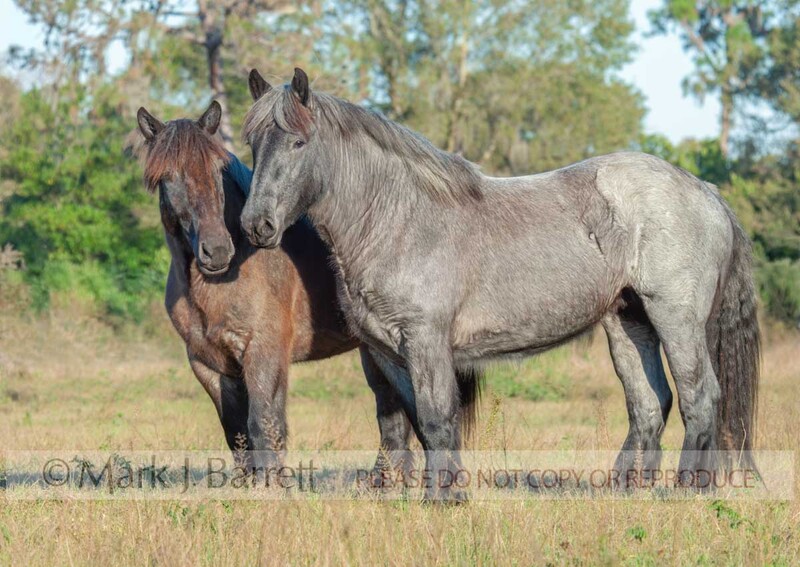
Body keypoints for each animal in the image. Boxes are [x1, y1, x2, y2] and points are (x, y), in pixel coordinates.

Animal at [131, 101, 482, 475]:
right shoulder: (208, 364)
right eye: (166, 177)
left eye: (217, 169)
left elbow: (265, 428)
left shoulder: (265, 354)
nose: (217, 250)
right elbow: (237, 437)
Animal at [239, 68, 760, 500]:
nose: (256, 224)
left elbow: (437, 418)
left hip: (675, 319)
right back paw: (629, 492)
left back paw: (688, 490)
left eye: (299, 142)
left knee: (699, 398)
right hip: (628, 321)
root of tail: (705, 191)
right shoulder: (388, 353)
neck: (398, 219)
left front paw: (443, 501)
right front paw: (440, 494)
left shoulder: (426, 341)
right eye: (253, 144)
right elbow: (417, 425)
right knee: (650, 404)